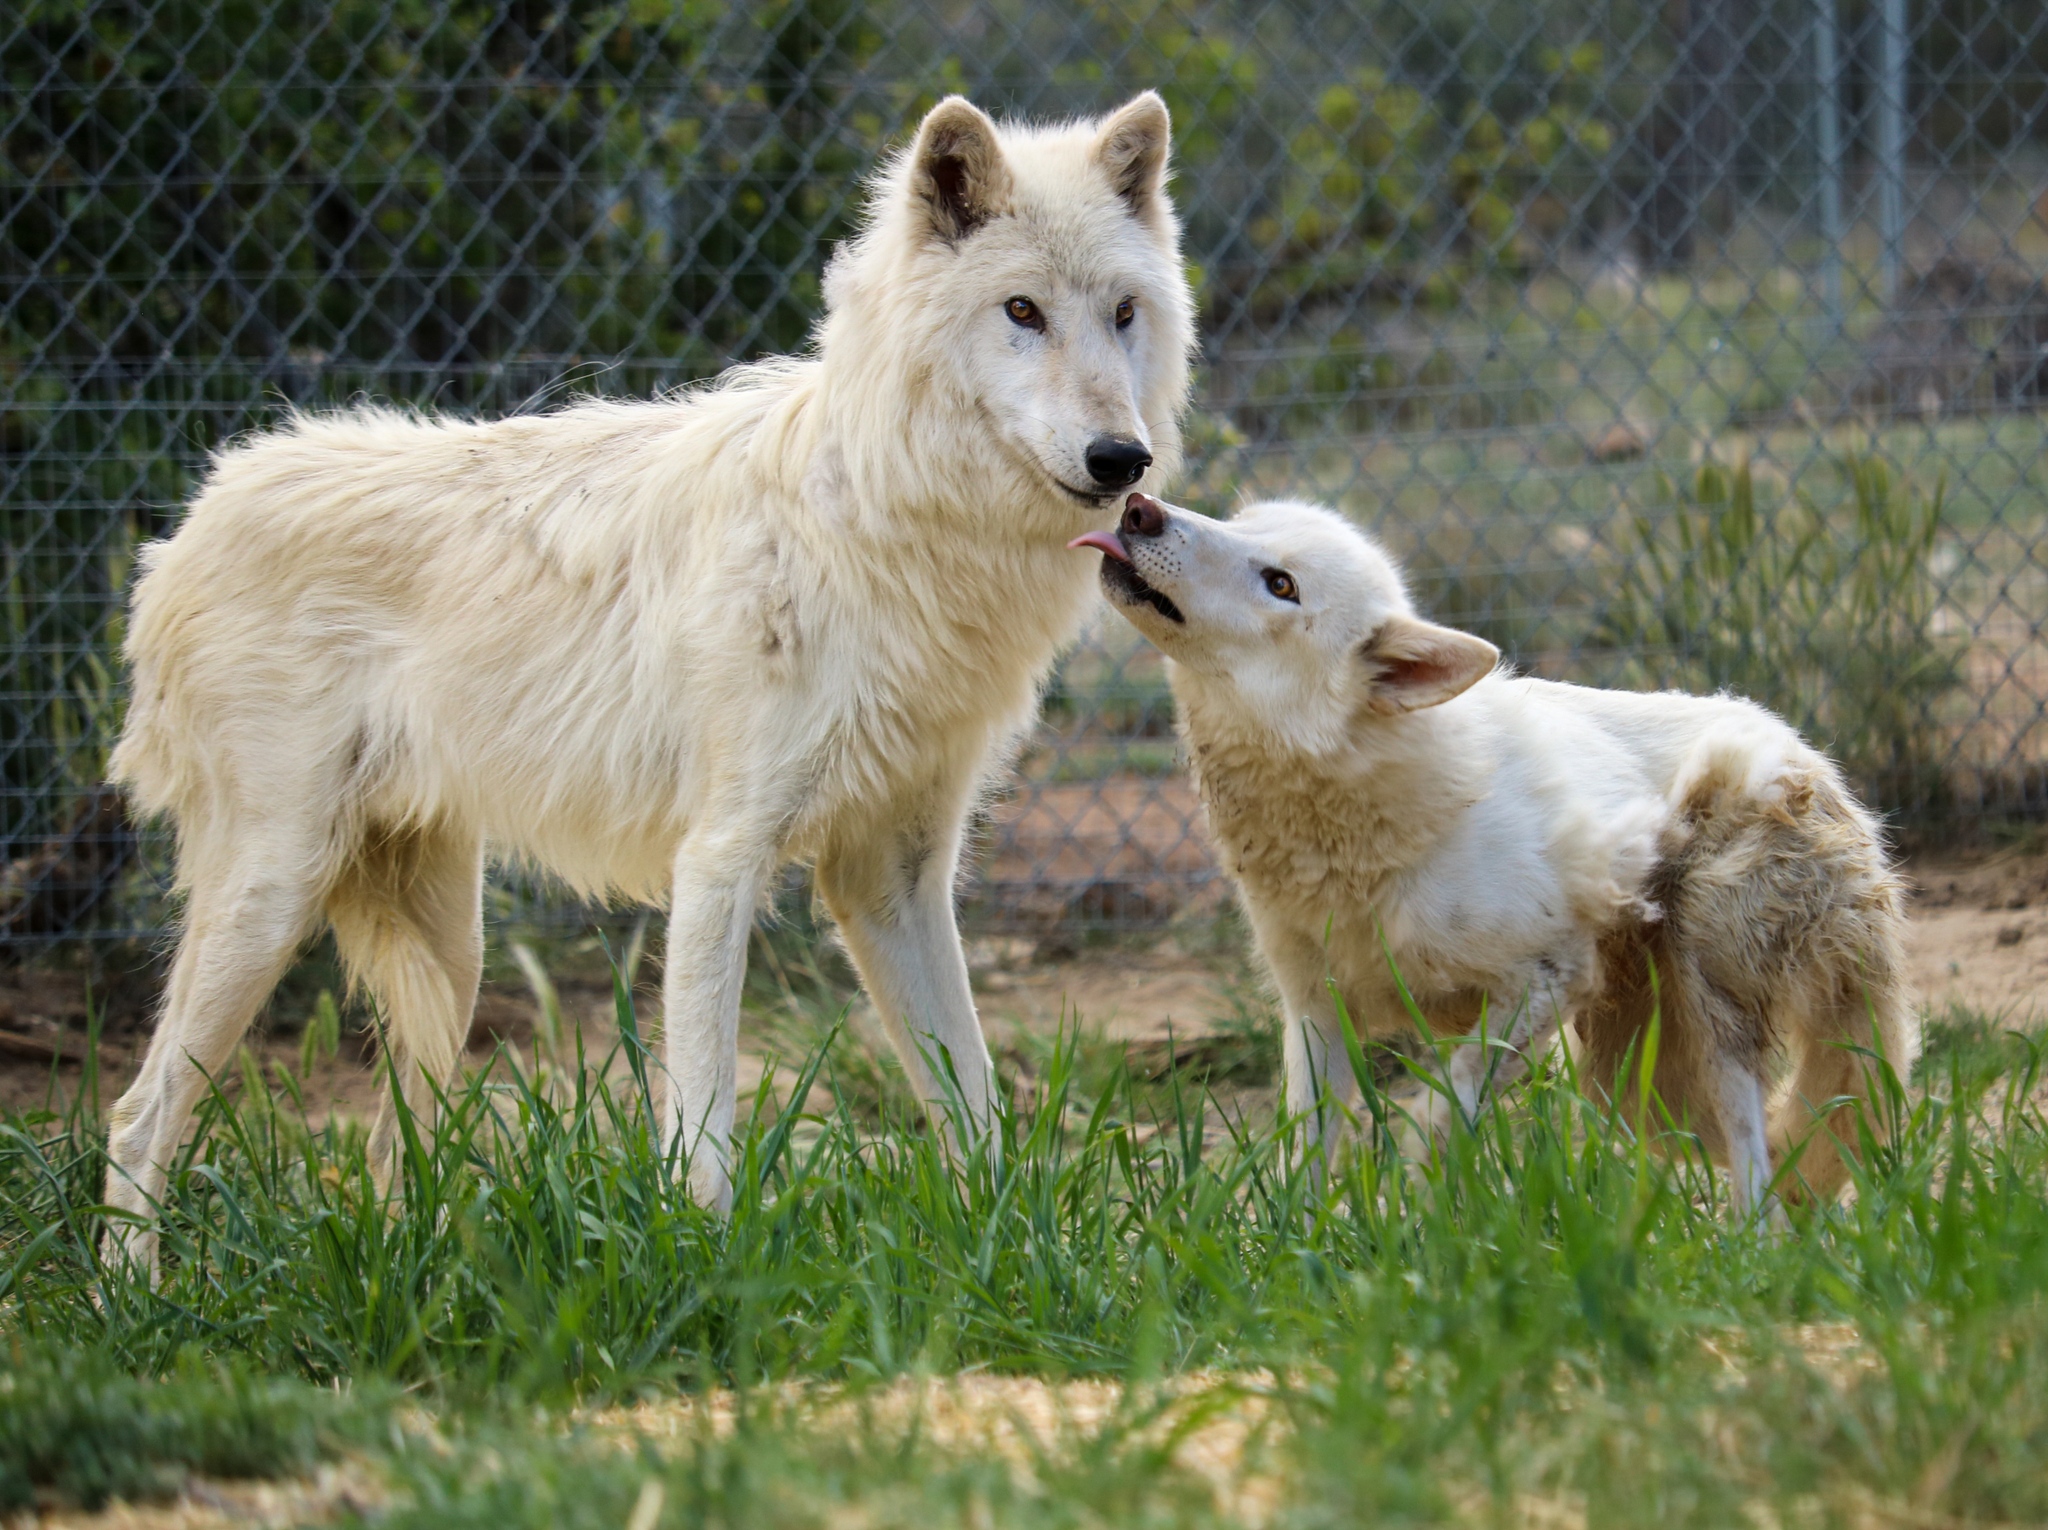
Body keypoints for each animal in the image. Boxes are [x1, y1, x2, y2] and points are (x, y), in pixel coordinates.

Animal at [1073, 497, 1916, 1212]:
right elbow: (1306, 1150)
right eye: (1240, 520)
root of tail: (1815, 760)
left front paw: (1411, 1209)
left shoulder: (1546, 976)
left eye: (1281, 584)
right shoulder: (1313, 1011)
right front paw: (1296, 1245)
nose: (1140, 508)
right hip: (1628, 1062)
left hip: (1707, 1005)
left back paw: (1746, 1247)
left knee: (1752, 1149)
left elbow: (1445, 1105)